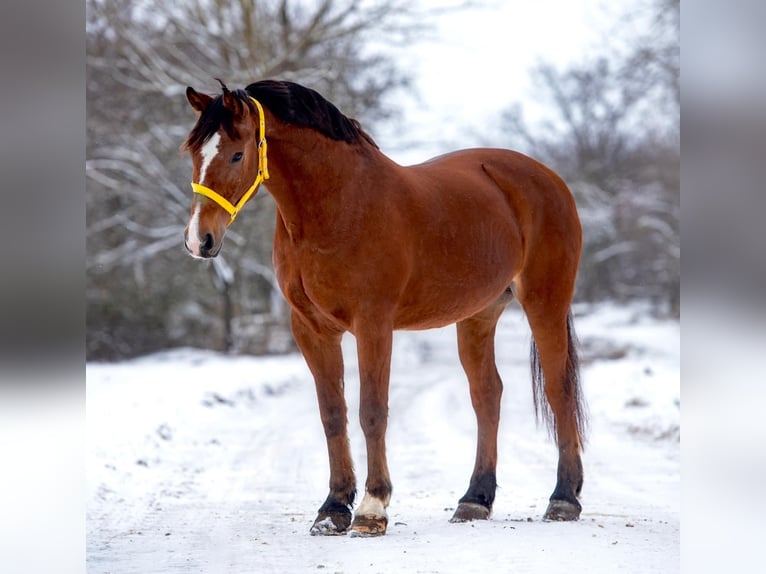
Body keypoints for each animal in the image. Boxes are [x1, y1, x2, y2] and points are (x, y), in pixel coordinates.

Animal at [181, 79, 586, 537]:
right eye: (192, 153)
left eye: (236, 154)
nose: (199, 240)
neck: (339, 205)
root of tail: (548, 179)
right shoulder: (311, 329)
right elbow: (333, 414)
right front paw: (333, 508)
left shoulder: (373, 324)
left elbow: (372, 411)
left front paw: (372, 508)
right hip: (478, 316)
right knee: (487, 395)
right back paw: (474, 500)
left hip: (545, 302)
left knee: (558, 389)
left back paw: (563, 498)